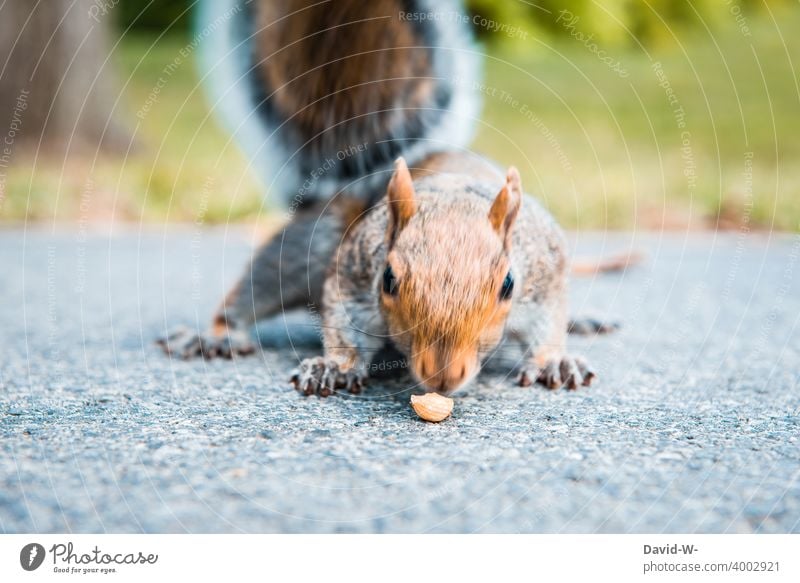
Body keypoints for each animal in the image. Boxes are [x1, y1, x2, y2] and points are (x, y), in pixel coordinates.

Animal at [156, 0, 620, 396]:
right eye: (388, 279)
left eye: (508, 285)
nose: (442, 376)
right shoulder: (353, 272)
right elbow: (342, 323)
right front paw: (334, 366)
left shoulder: (545, 274)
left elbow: (548, 324)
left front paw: (554, 360)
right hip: (315, 237)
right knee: (255, 287)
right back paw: (213, 336)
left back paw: (583, 321)